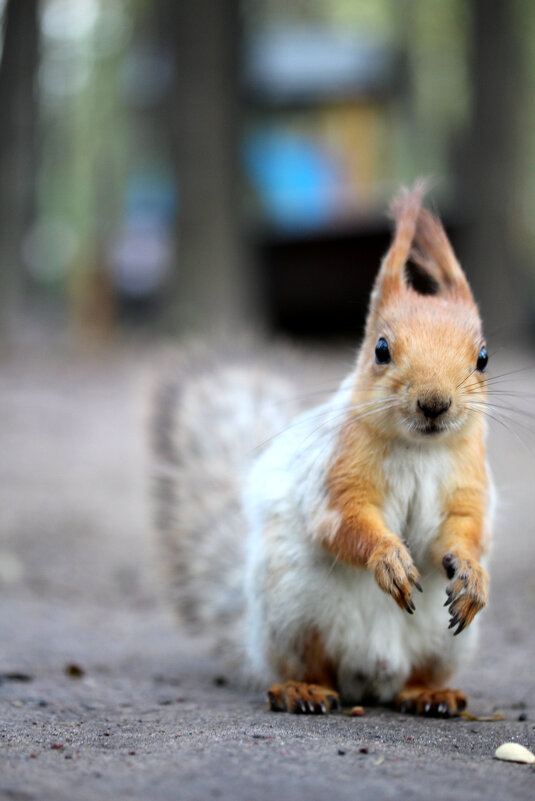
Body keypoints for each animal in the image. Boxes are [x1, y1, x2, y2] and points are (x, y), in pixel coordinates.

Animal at [153, 183, 496, 720]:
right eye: (381, 350)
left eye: (482, 357)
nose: (434, 404)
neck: (420, 448)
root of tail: (372, 676)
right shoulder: (337, 472)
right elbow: (345, 520)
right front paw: (388, 559)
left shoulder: (468, 480)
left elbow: (465, 530)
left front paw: (473, 575)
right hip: (293, 614)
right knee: (311, 664)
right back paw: (303, 690)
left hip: (445, 645)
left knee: (418, 677)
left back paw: (430, 694)